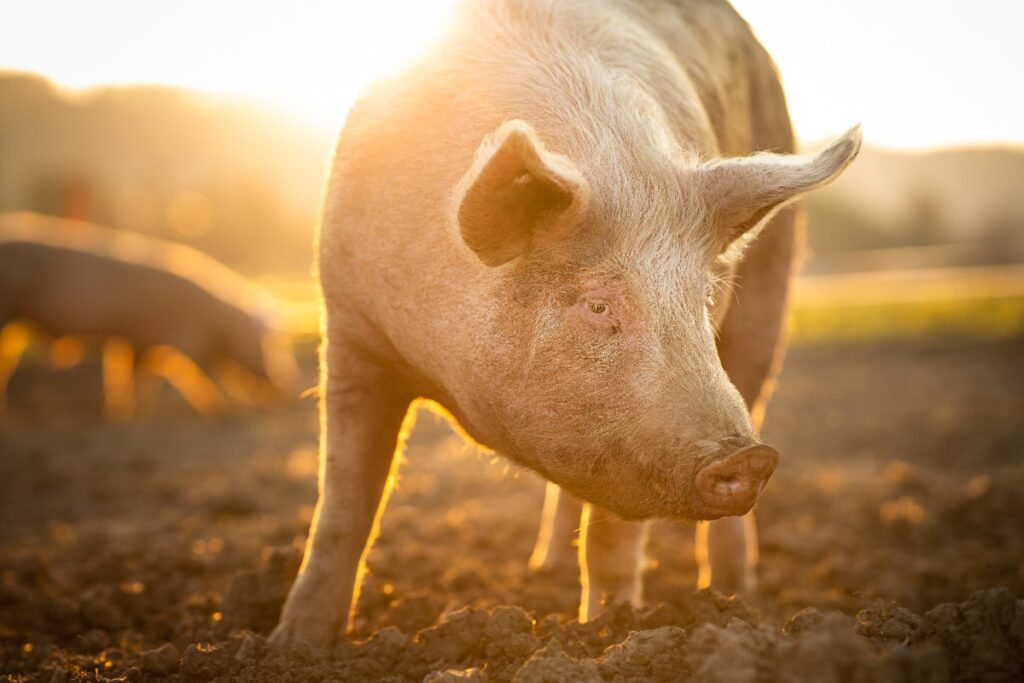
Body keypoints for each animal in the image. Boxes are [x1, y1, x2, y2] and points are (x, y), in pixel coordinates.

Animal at [0, 210, 296, 411]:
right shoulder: (187, 339)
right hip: (7, 309)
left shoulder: (137, 340)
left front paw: (129, 411)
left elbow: (135, 375)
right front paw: (224, 408)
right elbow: (198, 373)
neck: (218, 322)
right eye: (268, 344)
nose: (285, 387)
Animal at [270, 0, 856, 647]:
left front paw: (609, 632)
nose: (747, 460)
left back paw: (735, 599)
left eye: (704, 297)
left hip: (769, 301)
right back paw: (544, 568)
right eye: (597, 306)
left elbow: (614, 535)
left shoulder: (630, 442)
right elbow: (345, 504)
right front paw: (293, 645)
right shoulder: (351, 330)